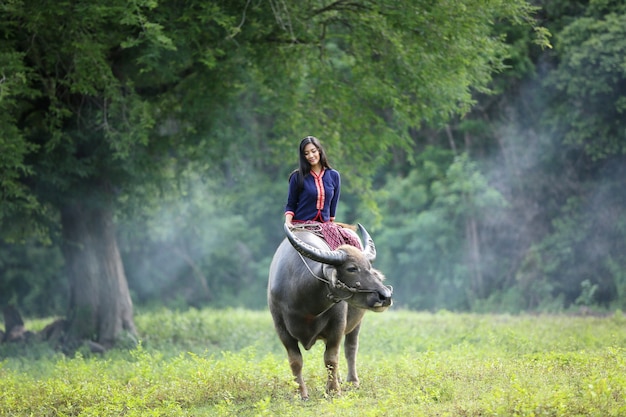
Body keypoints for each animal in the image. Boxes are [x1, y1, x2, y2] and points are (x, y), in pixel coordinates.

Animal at [266, 223, 392, 398]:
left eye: (369, 267)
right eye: (351, 268)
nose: (385, 296)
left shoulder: (337, 325)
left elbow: (331, 358)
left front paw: (333, 391)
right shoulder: (281, 329)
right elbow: (295, 361)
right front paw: (301, 394)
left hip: (357, 322)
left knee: (350, 348)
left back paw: (352, 381)